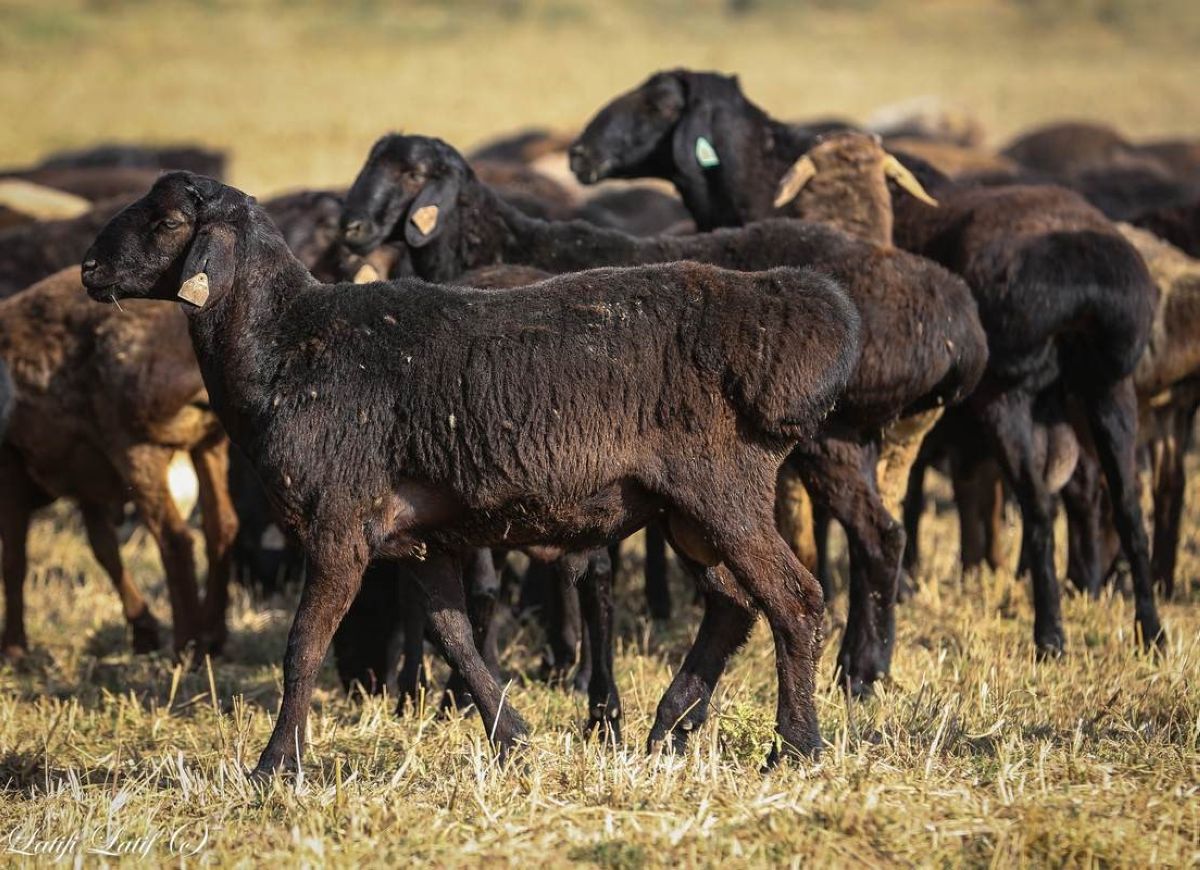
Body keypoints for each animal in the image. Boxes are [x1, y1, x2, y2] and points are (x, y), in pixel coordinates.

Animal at [338, 132, 984, 700]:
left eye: (414, 173)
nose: (351, 229)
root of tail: (956, 321)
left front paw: (558, 673)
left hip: (831, 438)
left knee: (875, 537)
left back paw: (862, 669)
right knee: (883, 536)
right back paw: (866, 666)